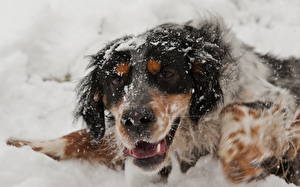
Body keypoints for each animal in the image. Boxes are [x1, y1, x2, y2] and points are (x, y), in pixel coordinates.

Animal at [6, 17, 300, 186]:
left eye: (167, 74)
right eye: (116, 80)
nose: (136, 120)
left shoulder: (277, 97)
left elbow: (241, 110)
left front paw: (242, 157)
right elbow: (83, 139)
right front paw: (21, 145)